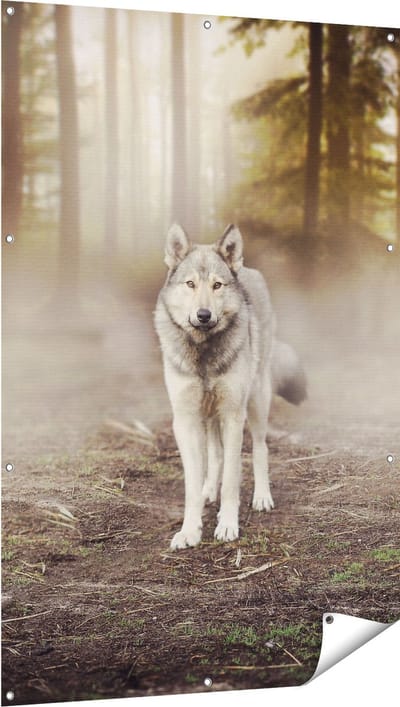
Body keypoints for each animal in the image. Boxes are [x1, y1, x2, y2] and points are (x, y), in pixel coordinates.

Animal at [154, 223, 306, 550]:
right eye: (190, 284)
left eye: (217, 285)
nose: (203, 315)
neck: (204, 353)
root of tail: (248, 268)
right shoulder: (185, 421)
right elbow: (192, 483)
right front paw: (190, 529)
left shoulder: (234, 416)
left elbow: (233, 480)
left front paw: (227, 525)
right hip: (210, 414)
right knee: (216, 456)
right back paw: (208, 490)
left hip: (257, 402)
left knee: (260, 448)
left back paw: (261, 496)